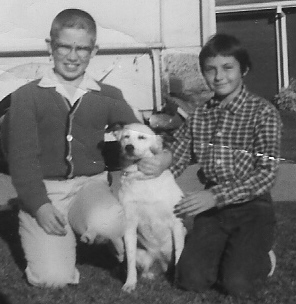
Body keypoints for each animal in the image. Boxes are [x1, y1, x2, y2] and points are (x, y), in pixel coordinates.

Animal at [115, 123, 186, 292]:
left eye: (142, 137)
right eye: (126, 137)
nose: (129, 147)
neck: (142, 178)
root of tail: (162, 266)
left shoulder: (177, 223)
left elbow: (179, 255)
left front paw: (177, 284)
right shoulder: (129, 225)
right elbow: (130, 260)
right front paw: (130, 283)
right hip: (144, 255)